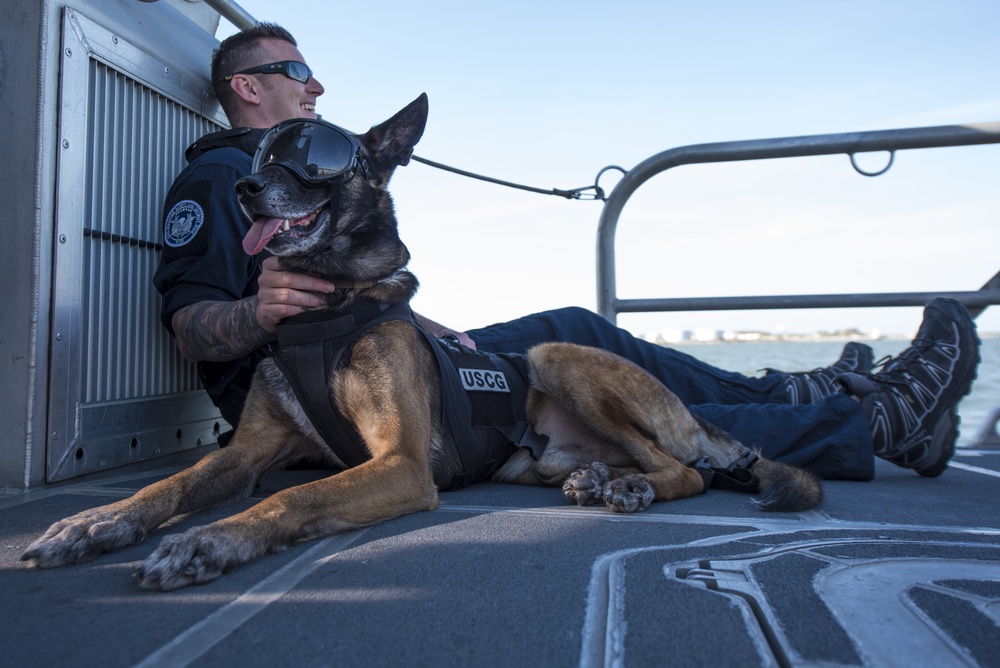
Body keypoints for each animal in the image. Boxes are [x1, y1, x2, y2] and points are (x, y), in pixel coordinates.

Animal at [21, 95, 820, 588]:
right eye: (257, 156)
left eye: (313, 156)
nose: (248, 190)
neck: (327, 307)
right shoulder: (245, 456)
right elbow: (167, 486)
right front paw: (95, 522)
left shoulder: (401, 466)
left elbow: (289, 499)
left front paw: (208, 542)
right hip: (538, 448)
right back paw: (601, 479)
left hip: (554, 359)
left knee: (689, 471)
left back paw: (632, 486)